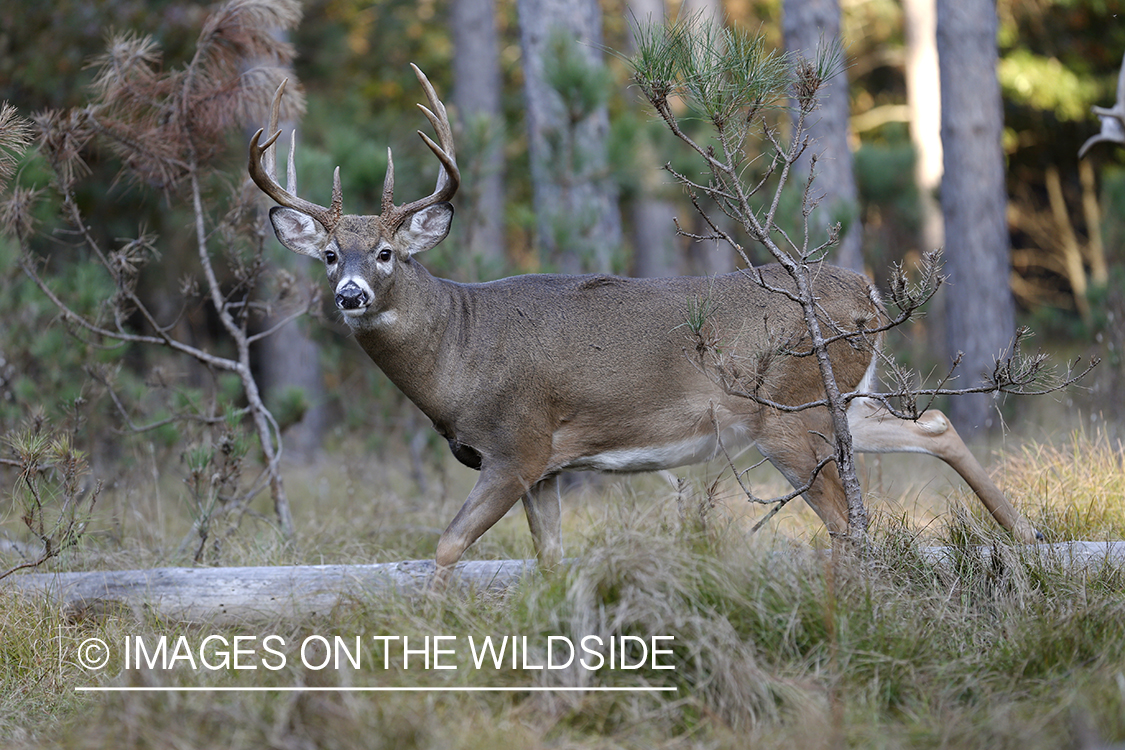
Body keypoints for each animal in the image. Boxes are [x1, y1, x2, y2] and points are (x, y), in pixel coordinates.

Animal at [246, 64, 1035, 584]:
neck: (458, 356)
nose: (350, 294)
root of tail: (866, 293)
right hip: (841, 397)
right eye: (328, 255)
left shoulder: (519, 444)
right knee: (932, 425)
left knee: (846, 523)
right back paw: (1026, 537)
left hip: (787, 409)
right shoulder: (548, 471)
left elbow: (445, 546)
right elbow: (549, 560)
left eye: (384, 252)